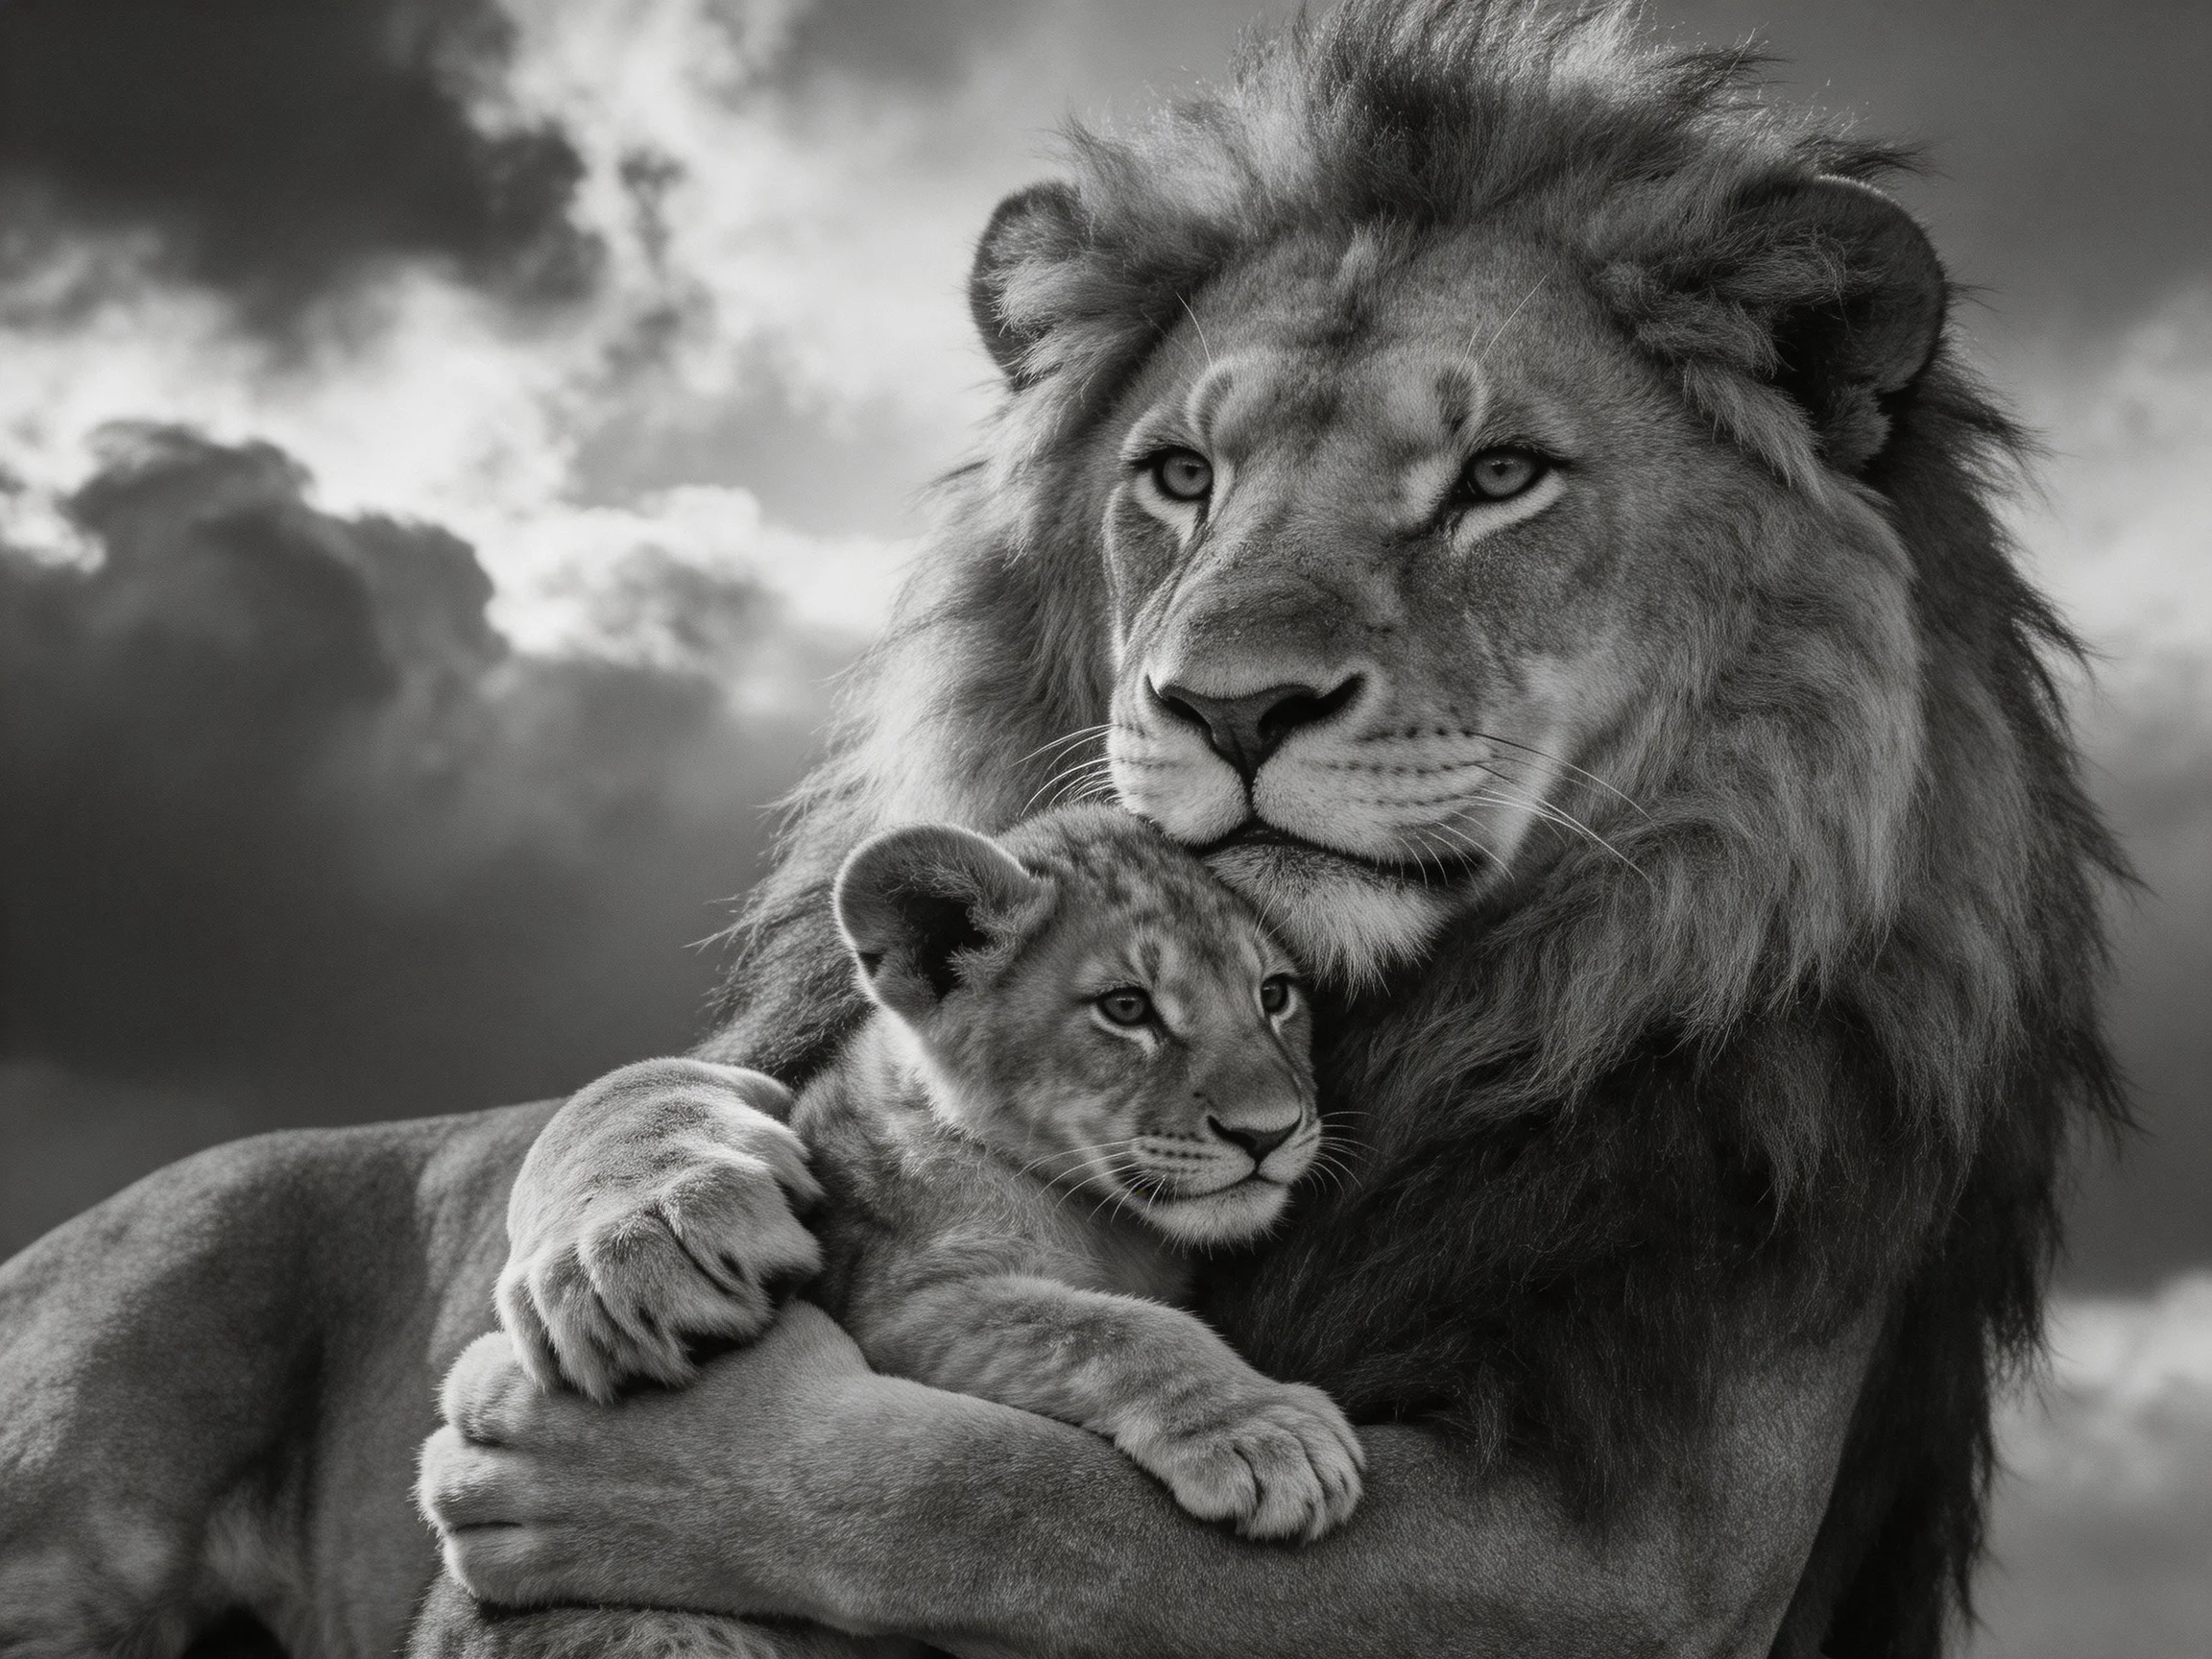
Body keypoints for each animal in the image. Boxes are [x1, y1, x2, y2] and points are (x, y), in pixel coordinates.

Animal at [0, 5, 2121, 1658]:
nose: (1233, 708)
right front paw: (653, 1224)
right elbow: (903, 1326)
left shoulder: (1631, 1560)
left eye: (1500, 478)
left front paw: (612, 1453)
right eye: (1179, 476)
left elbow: (1016, 1511)